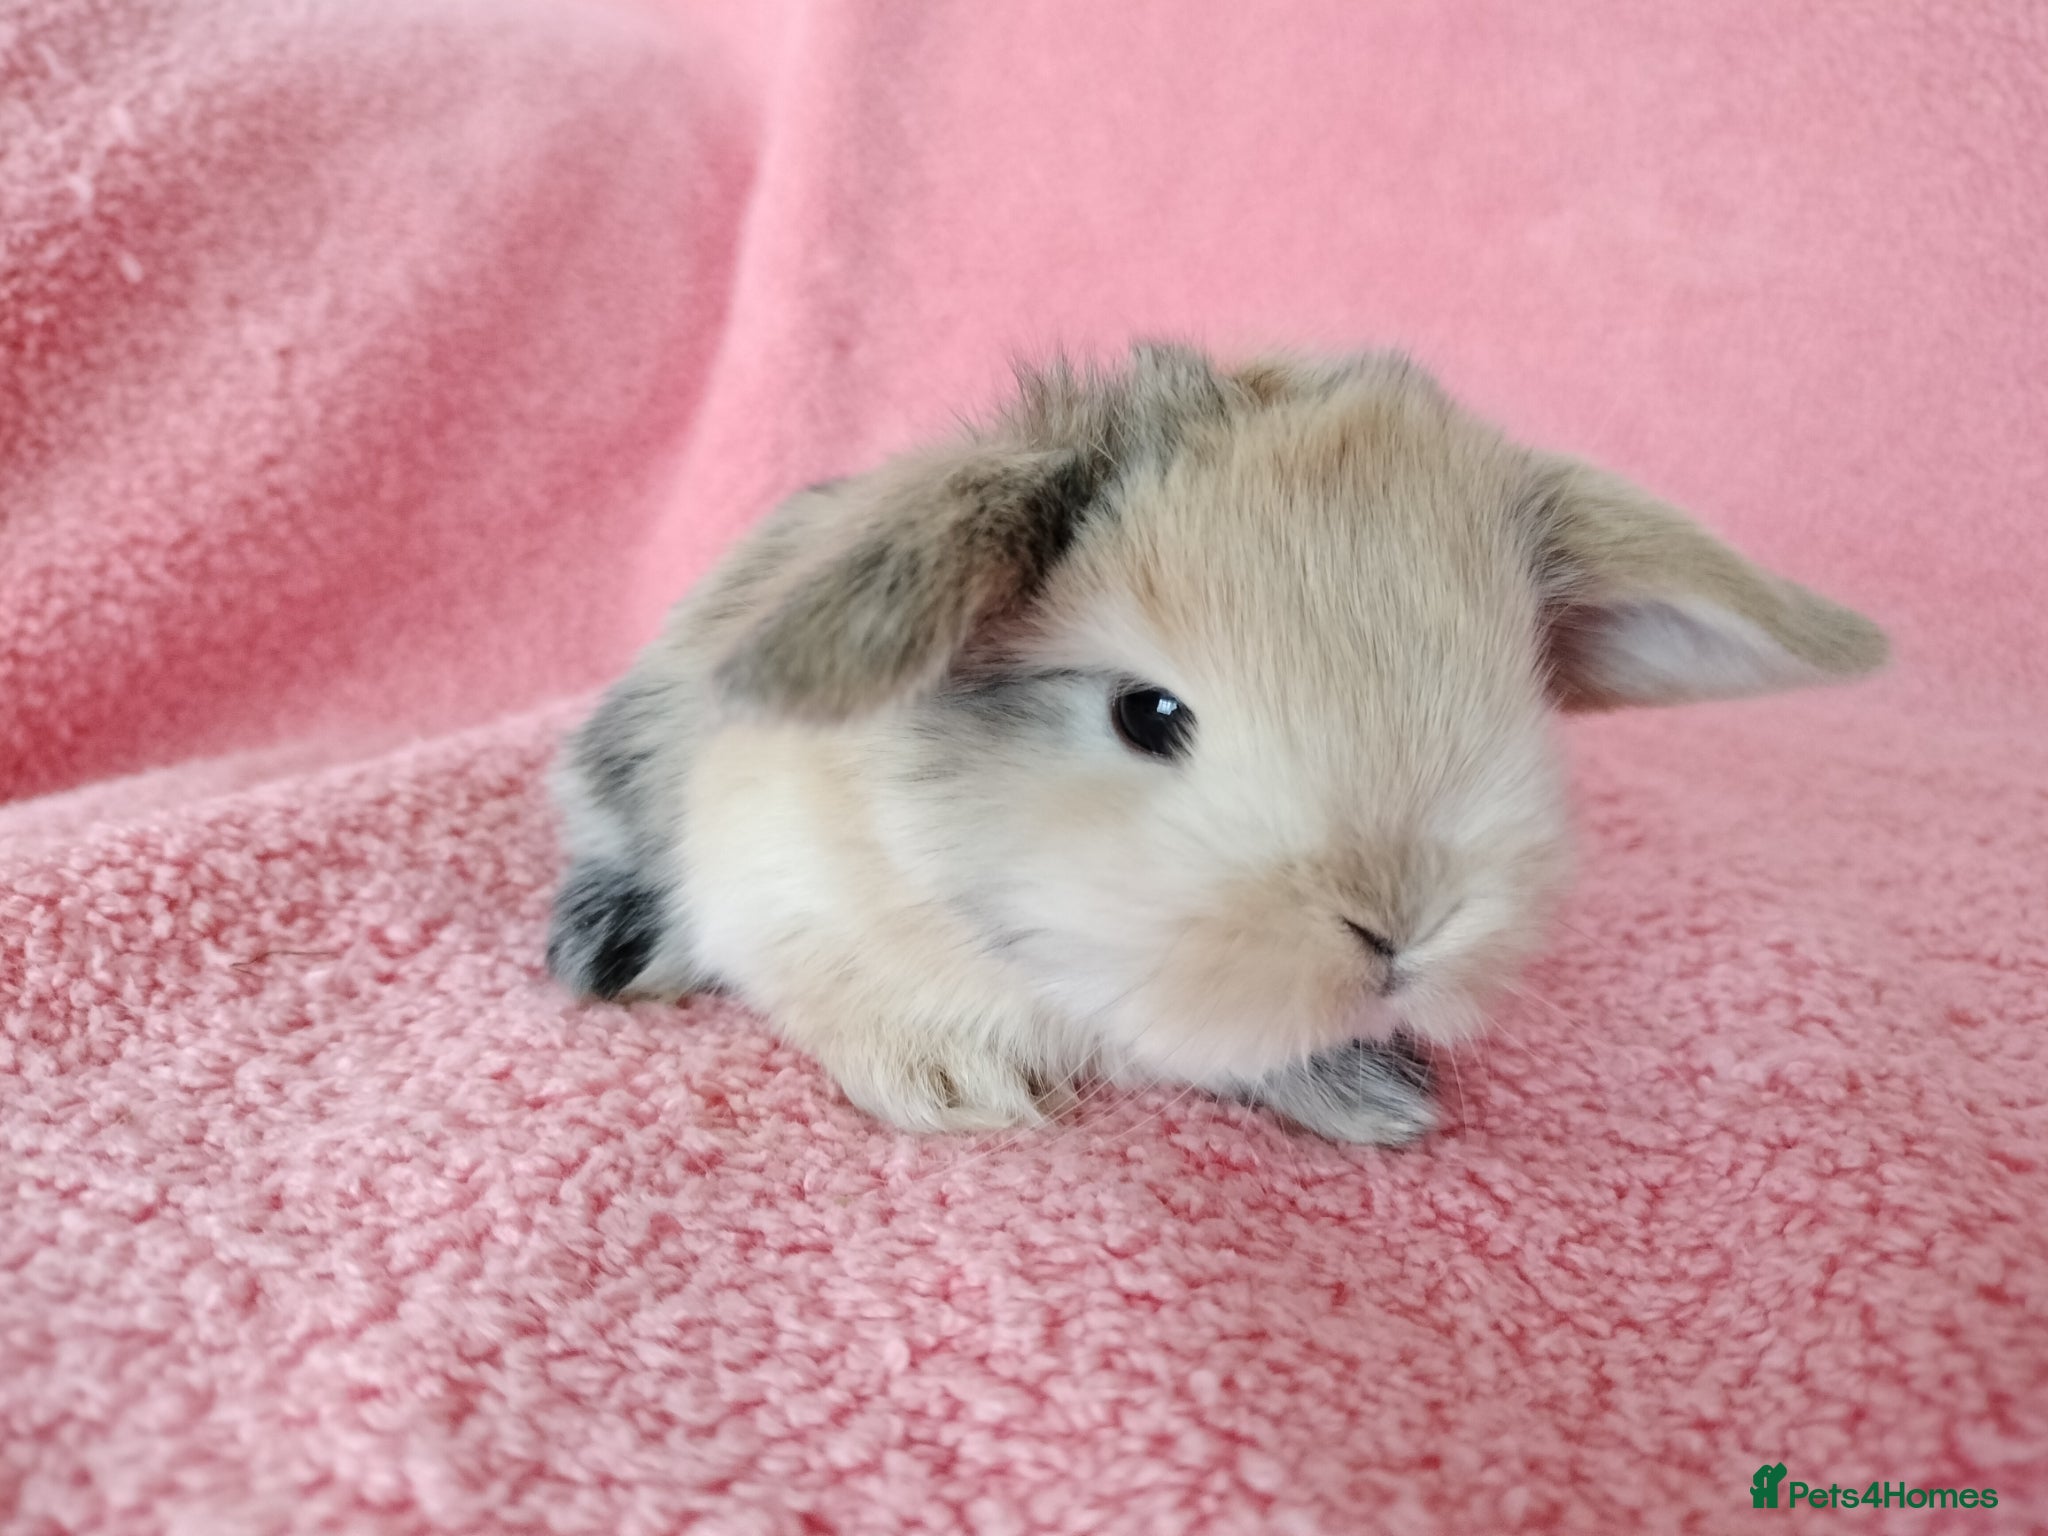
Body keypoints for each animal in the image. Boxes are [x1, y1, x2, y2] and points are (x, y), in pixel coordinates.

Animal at [544, 343, 1887, 1144]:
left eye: (1506, 690)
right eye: (1147, 714)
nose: (1398, 925)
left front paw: (1374, 1101)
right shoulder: (778, 896)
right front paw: (964, 1092)